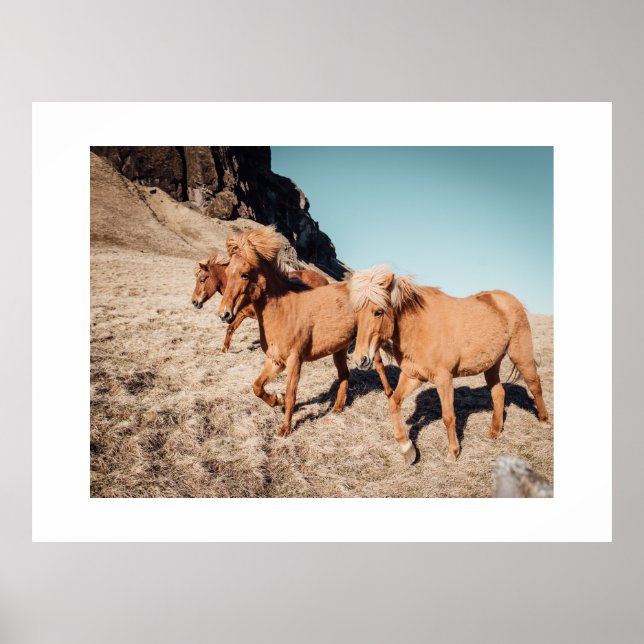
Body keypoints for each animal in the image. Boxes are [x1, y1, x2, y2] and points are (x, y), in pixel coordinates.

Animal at [192, 254, 329, 352]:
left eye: (202, 280)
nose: (194, 302)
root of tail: (324, 279)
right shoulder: (242, 314)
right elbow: (230, 329)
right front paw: (224, 349)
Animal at [217, 226, 393, 437]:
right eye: (227, 271)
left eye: (244, 274)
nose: (224, 313)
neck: (283, 311)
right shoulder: (275, 361)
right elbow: (257, 387)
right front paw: (277, 400)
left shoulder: (295, 360)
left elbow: (291, 394)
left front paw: (284, 429)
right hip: (339, 349)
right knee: (344, 375)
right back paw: (337, 409)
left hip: (367, 343)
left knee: (379, 364)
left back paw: (390, 394)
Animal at [349, 265, 549, 465]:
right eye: (356, 313)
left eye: (378, 312)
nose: (361, 359)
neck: (419, 327)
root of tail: (510, 300)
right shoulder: (413, 376)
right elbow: (393, 402)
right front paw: (407, 449)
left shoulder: (444, 378)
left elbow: (448, 416)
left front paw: (453, 452)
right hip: (492, 364)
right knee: (499, 393)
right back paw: (494, 432)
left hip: (520, 355)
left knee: (534, 384)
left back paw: (544, 421)